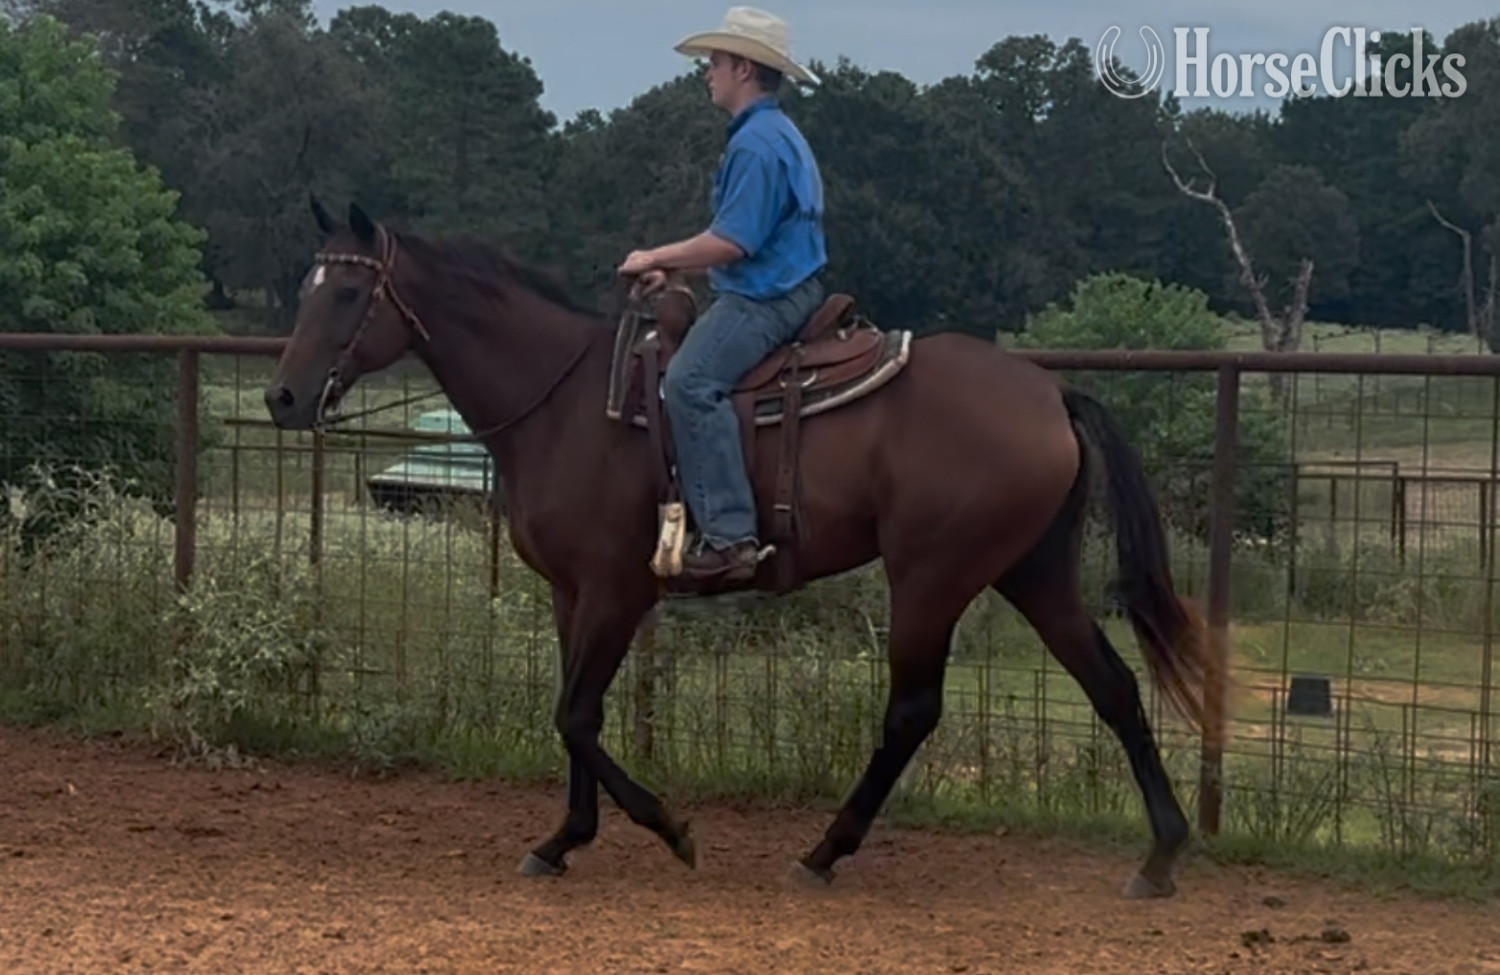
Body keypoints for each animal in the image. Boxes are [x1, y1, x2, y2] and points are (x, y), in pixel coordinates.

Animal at [263, 197, 1207, 899]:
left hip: (933, 576)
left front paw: (671, 829)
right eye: (305, 287)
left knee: (912, 710)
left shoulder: (617, 590)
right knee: (1115, 688)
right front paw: (563, 838)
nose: (282, 396)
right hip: (1033, 572)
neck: (565, 402)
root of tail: (1050, 393)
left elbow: (575, 714)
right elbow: (573, 711)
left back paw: (824, 851)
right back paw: (1161, 854)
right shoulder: (572, 592)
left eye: (345, 296)